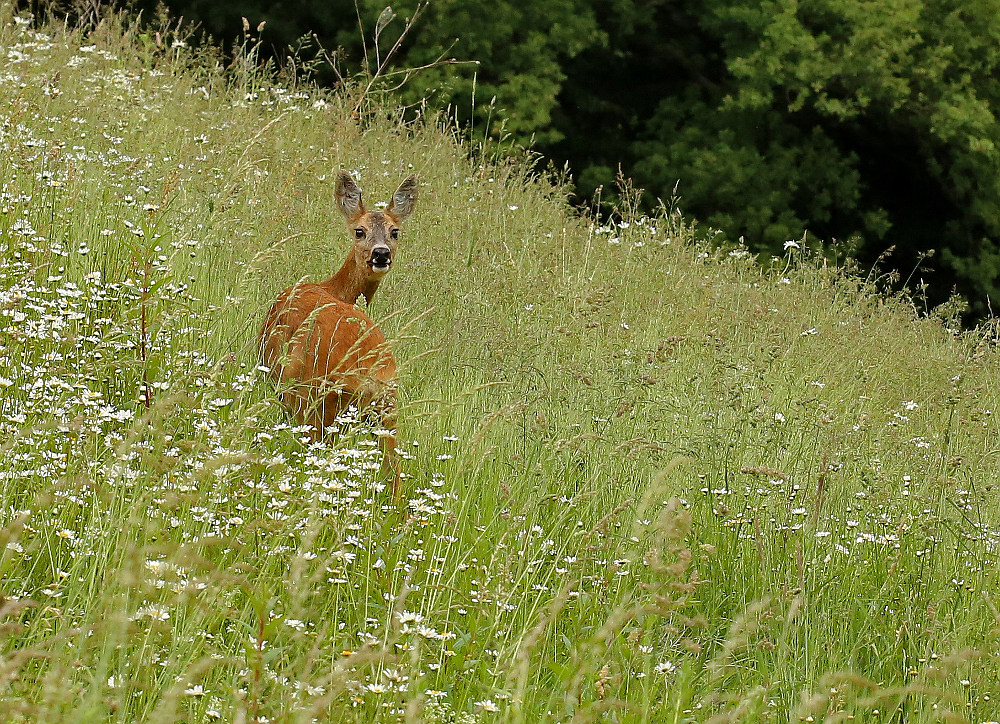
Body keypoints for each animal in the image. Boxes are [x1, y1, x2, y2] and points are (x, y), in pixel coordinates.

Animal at [258, 173, 418, 494]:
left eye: (395, 232)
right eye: (359, 230)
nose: (380, 254)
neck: (331, 288)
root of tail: (367, 372)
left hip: (315, 400)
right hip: (386, 408)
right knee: (394, 474)